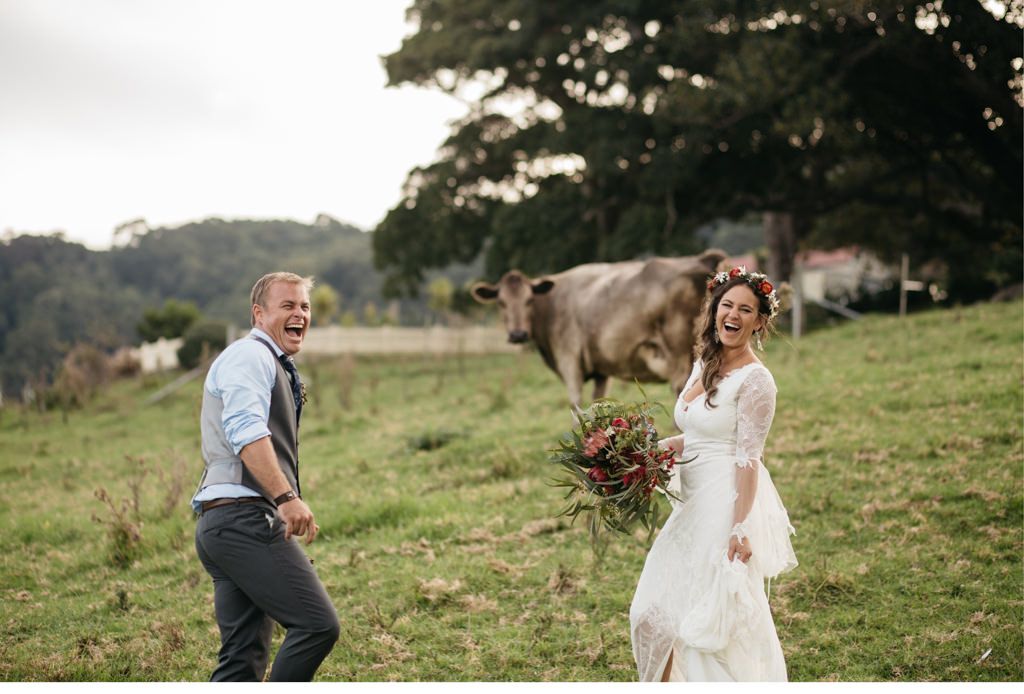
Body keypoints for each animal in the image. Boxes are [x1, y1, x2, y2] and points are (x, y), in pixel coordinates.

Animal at [471, 251, 729, 407]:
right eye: (501, 303)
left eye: (528, 300)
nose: (517, 334)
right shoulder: (601, 371)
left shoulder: (569, 361)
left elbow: (576, 407)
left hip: (679, 358)